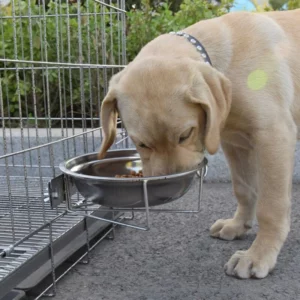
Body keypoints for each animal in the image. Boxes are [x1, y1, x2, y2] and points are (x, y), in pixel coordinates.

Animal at [97, 9, 298, 282]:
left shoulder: (273, 135)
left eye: (185, 135)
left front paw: (258, 254)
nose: (166, 190)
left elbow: (271, 206)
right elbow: (244, 190)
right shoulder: (235, 143)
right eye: (141, 144)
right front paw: (238, 225)